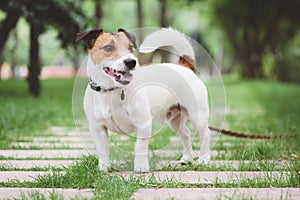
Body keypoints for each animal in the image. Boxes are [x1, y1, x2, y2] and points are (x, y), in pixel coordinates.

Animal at [75, 27, 211, 173]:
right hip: (175, 120)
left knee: (205, 134)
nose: (131, 62)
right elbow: (103, 149)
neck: (111, 91)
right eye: (108, 47)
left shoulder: (143, 123)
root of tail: (185, 66)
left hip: (197, 114)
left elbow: (139, 146)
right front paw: (103, 167)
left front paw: (141, 166)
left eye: (130, 47)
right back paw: (187, 158)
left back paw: (204, 160)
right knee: (186, 134)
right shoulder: (97, 128)